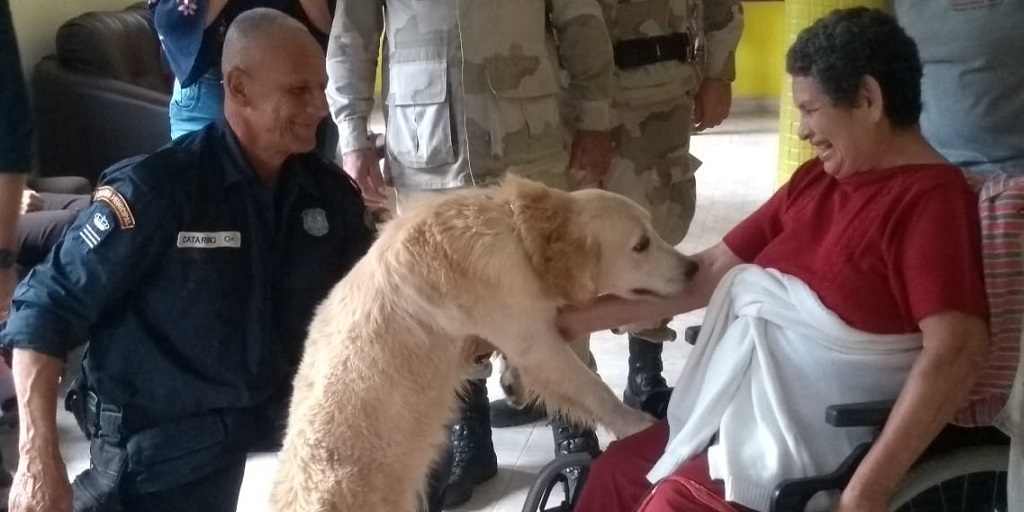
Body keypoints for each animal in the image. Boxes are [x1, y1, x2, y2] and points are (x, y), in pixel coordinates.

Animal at [270, 177, 696, 512]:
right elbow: (591, 387)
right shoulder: (533, 338)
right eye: (641, 245)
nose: (693, 269)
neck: (522, 238)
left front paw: (513, 380)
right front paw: (641, 426)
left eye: (653, 231)